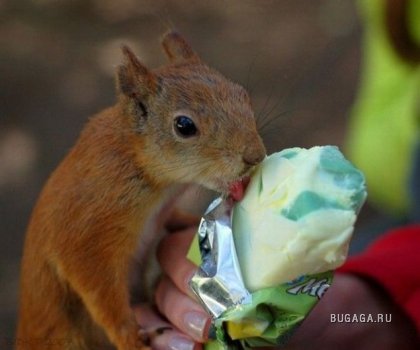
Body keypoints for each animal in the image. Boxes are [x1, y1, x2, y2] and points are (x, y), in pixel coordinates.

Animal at [17, 31, 266, 348]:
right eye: (184, 126)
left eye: (242, 93)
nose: (255, 155)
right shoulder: (87, 237)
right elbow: (102, 297)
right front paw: (130, 339)